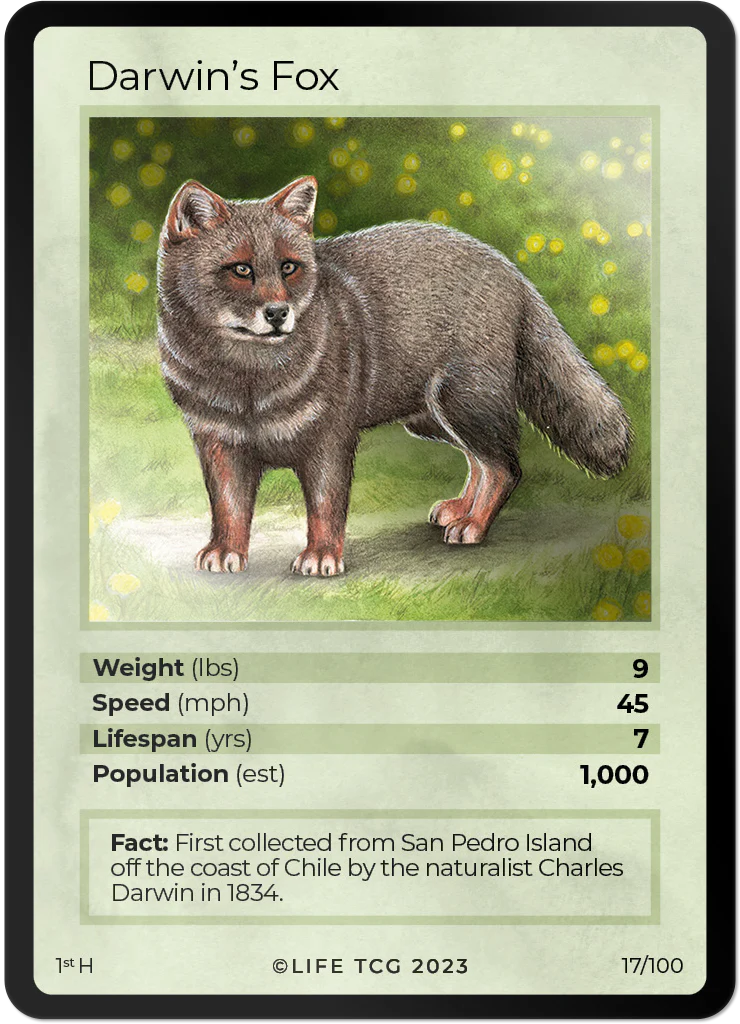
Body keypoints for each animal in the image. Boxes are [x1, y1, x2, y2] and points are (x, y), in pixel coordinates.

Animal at [157, 176, 631, 576]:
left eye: (289, 267)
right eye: (241, 269)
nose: (278, 313)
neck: (248, 387)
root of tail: (510, 269)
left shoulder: (331, 442)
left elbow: (326, 507)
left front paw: (322, 556)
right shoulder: (219, 443)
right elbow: (229, 510)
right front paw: (225, 551)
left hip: (462, 404)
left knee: (505, 466)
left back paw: (474, 525)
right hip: (435, 420)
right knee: (481, 461)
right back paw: (461, 510)